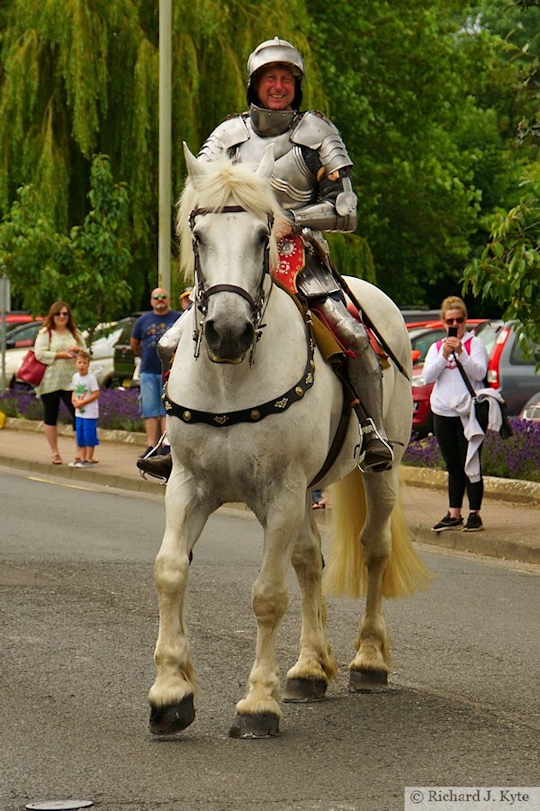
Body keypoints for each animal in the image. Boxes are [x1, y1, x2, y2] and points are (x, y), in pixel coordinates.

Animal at [148, 143, 430, 740]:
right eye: (198, 234)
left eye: (263, 235)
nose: (228, 332)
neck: (231, 380)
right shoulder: (188, 485)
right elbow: (171, 571)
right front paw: (170, 694)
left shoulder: (279, 491)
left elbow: (268, 594)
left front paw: (258, 704)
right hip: (301, 494)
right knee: (308, 560)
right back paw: (309, 669)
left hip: (378, 471)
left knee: (373, 548)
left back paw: (367, 660)